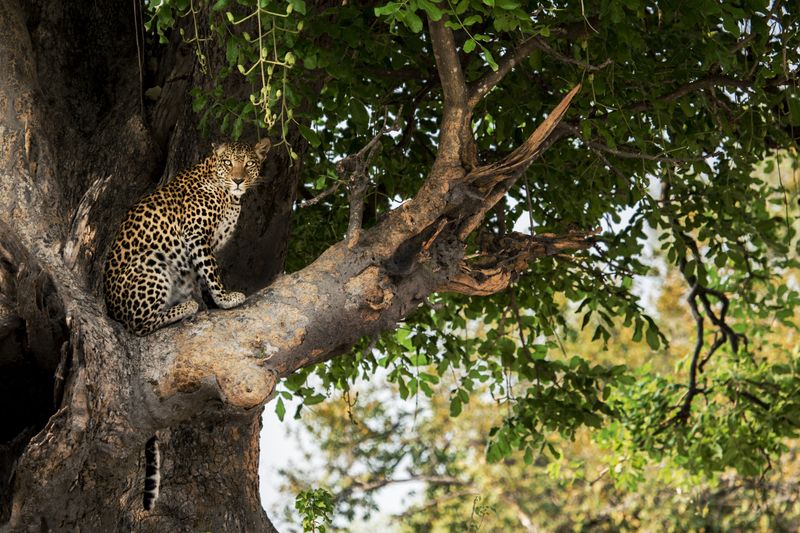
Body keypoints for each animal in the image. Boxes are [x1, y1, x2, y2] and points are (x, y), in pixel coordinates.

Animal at [103, 138, 271, 336]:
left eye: (249, 164)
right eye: (227, 162)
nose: (238, 180)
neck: (230, 198)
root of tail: (112, 310)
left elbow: (202, 273)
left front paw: (209, 302)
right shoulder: (196, 233)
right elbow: (212, 271)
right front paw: (225, 299)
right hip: (151, 259)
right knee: (138, 325)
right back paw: (187, 306)